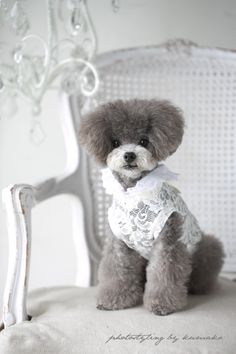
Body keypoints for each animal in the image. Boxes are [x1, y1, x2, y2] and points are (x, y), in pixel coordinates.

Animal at [78, 99, 224, 316]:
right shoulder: (119, 243)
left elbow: (164, 272)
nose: (129, 155)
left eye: (144, 141)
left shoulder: (168, 241)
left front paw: (162, 304)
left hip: (204, 248)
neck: (134, 193)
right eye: (115, 142)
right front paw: (113, 299)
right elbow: (117, 270)